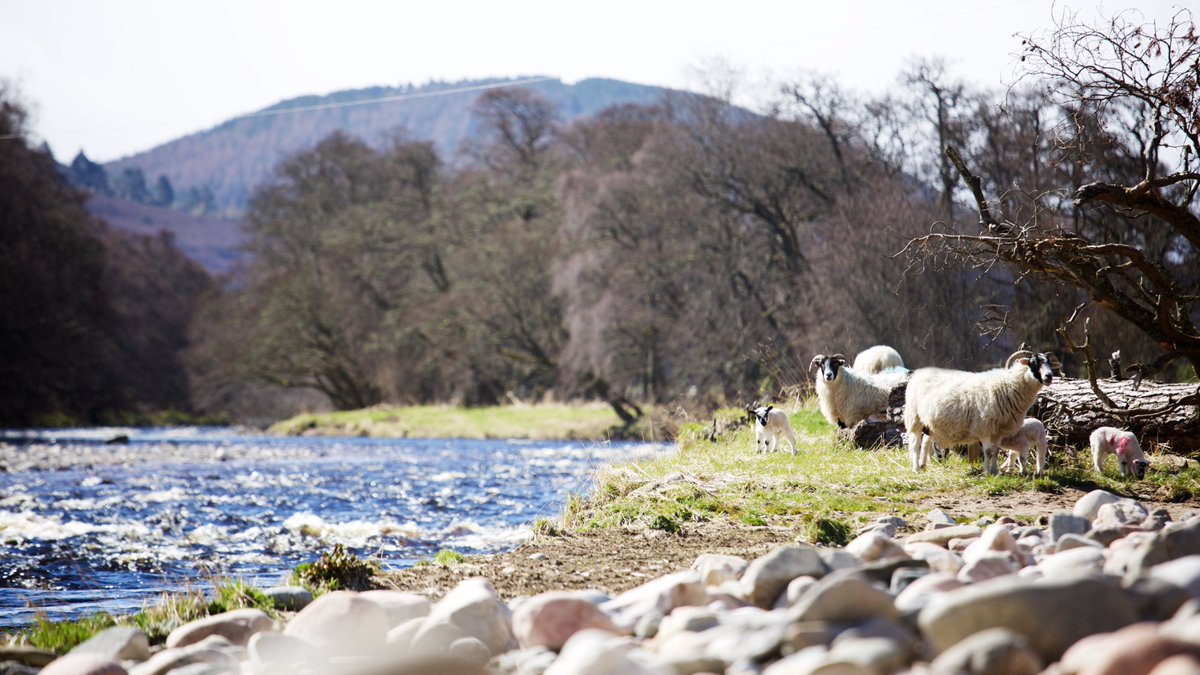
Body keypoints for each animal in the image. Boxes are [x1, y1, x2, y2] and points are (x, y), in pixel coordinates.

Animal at [902, 348, 1056, 475]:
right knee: (915, 443)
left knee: (926, 441)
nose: (1049, 376)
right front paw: (986, 472)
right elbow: (987, 452)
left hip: (932, 425)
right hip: (915, 418)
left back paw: (923, 465)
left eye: (1049, 362)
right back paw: (916, 468)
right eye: (1033, 363)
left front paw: (995, 471)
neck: (1010, 385)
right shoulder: (984, 426)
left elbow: (996, 451)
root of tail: (919, 373)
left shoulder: (999, 430)